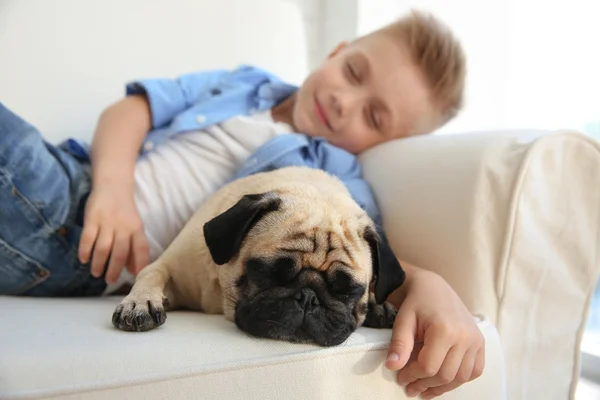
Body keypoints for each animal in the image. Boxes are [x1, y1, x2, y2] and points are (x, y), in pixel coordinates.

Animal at [110, 166, 406, 346]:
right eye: (269, 273)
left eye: (347, 290)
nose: (308, 298)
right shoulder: (172, 264)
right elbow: (152, 271)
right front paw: (140, 302)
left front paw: (376, 304)